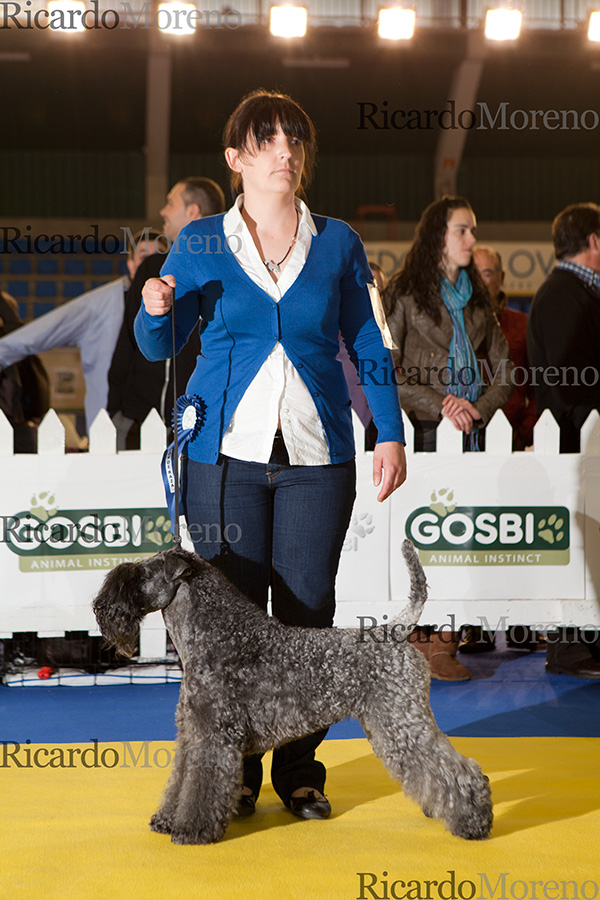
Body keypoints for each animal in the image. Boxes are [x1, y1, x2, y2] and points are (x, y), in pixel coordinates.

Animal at [92, 541, 493, 844]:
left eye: (138, 575)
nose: (100, 607)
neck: (218, 636)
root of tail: (395, 630)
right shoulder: (191, 733)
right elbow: (179, 781)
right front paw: (166, 820)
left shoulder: (213, 738)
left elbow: (201, 786)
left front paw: (192, 831)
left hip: (400, 723)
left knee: (457, 769)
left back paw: (473, 821)